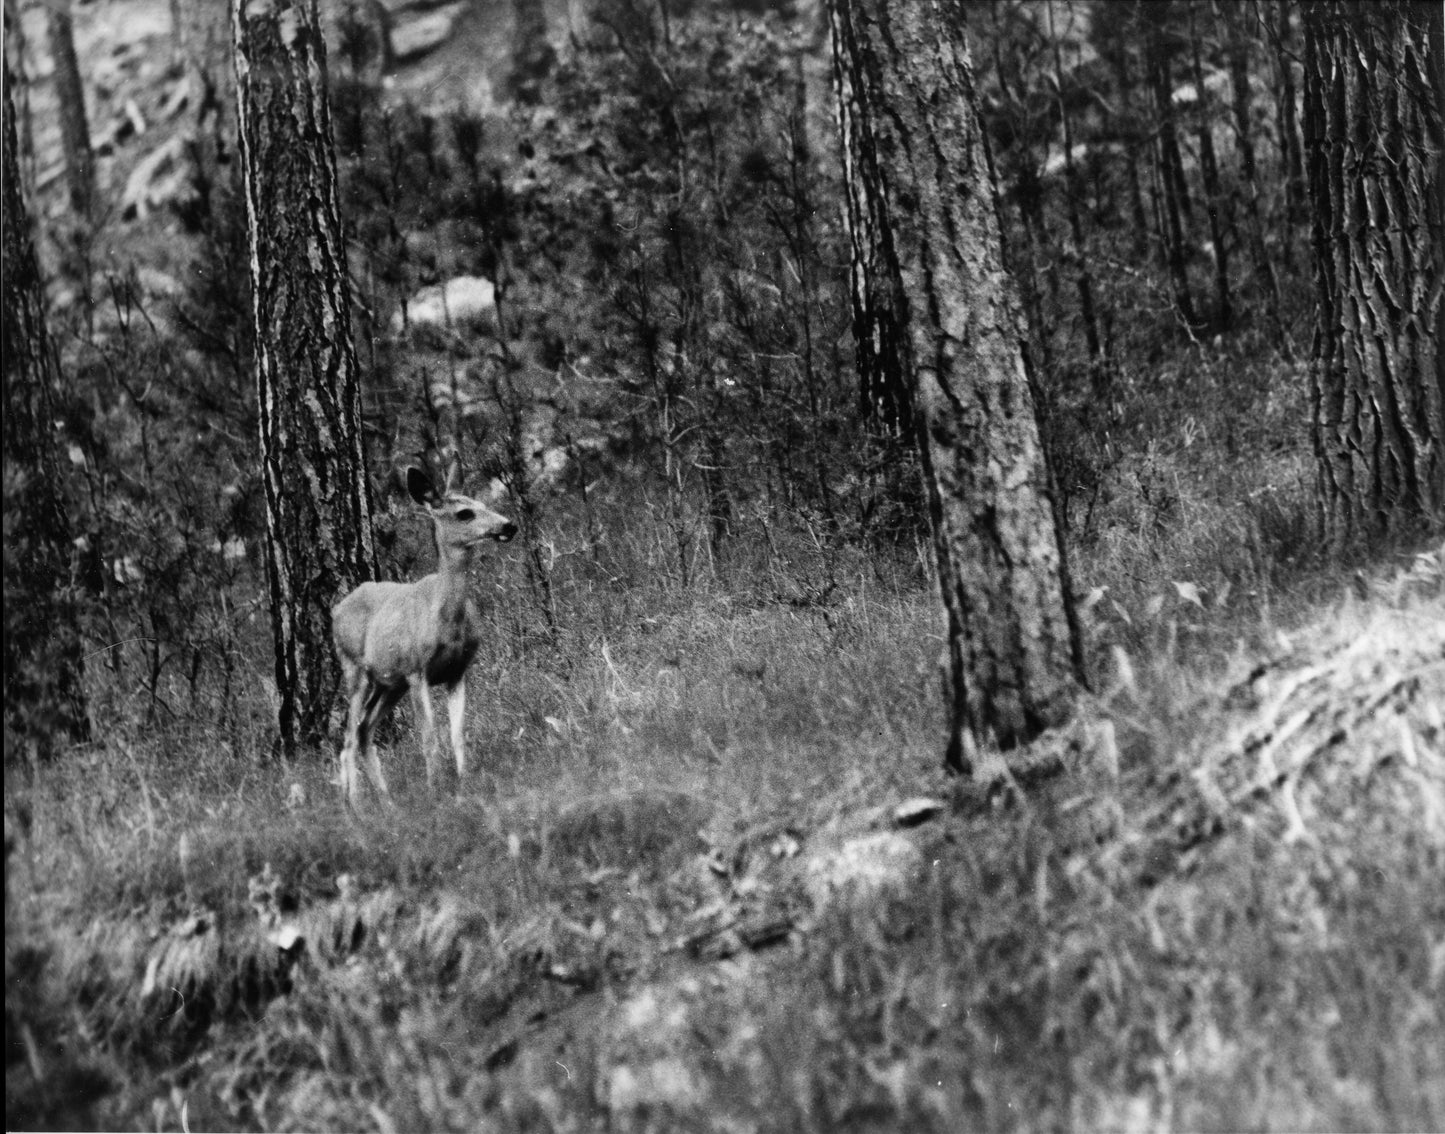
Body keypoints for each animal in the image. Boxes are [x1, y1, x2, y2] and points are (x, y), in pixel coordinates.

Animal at [331, 460, 516, 807]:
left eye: (483, 503)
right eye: (464, 513)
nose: (509, 525)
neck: (446, 619)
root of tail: (335, 610)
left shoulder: (457, 671)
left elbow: (458, 735)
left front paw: (465, 785)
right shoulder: (417, 670)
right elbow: (429, 738)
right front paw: (436, 791)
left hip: (389, 683)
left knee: (363, 730)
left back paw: (388, 803)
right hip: (355, 669)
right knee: (347, 738)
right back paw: (356, 807)